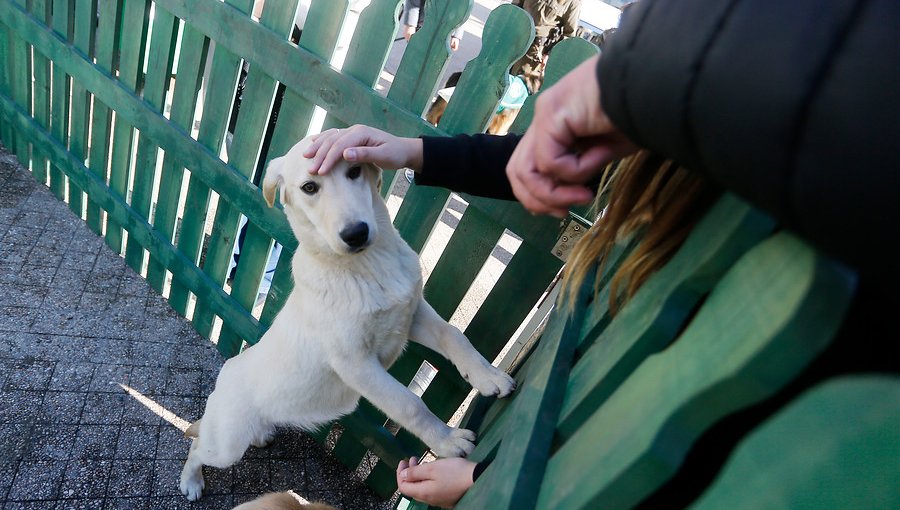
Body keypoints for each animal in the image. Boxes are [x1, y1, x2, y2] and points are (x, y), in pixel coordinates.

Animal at [179, 137, 516, 500]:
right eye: (309, 188)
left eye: (355, 171)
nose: (356, 233)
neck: (365, 266)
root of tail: (227, 371)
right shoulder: (356, 364)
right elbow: (409, 404)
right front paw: (448, 441)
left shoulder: (411, 314)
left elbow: (454, 335)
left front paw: (488, 376)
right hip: (226, 446)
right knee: (197, 447)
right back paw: (191, 480)